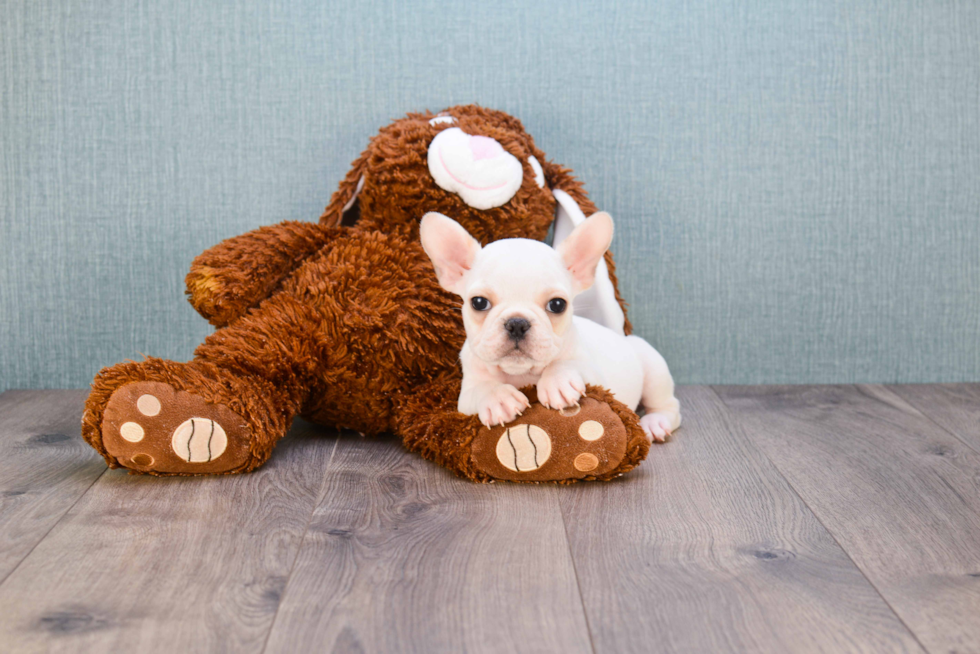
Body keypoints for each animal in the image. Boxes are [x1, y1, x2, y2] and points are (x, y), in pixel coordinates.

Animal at [420, 213, 680, 444]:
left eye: (557, 304)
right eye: (478, 302)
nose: (517, 323)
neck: (522, 374)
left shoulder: (596, 378)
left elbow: (566, 364)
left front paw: (558, 381)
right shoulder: (466, 395)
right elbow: (482, 388)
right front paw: (498, 398)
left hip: (653, 367)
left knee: (669, 406)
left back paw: (655, 423)